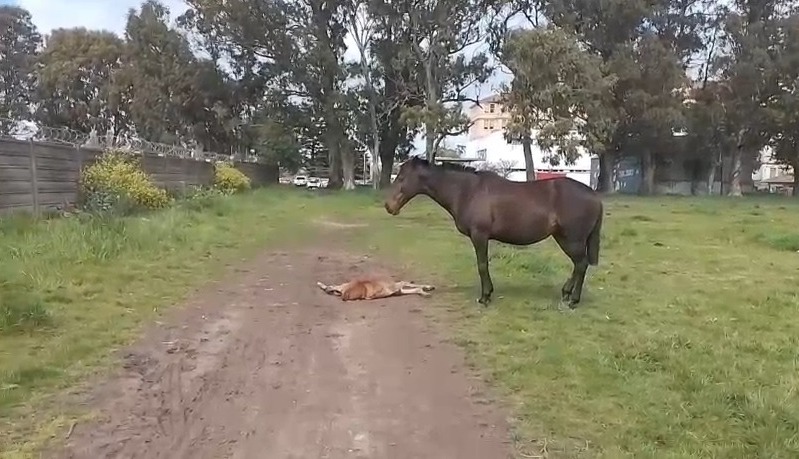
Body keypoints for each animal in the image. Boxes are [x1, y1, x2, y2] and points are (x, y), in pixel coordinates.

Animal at [383, 156, 604, 308]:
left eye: (401, 177)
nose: (388, 206)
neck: (467, 191)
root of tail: (594, 196)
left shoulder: (480, 236)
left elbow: (482, 265)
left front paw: (485, 297)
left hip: (572, 239)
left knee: (581, 264)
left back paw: (573, 300)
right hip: (563, 238)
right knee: (578, 265)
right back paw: (566, 294)